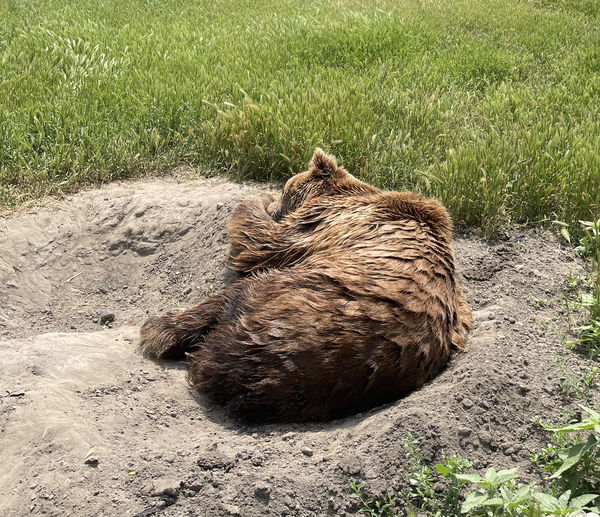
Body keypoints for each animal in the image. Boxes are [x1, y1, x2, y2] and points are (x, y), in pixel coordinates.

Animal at [138, 147, 472, 422]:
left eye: (286, 187)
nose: (276, 202)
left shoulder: (317, 226)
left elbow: (259, 241)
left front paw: (257, 201)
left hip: (284, 293)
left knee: (232, 298)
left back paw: (162, 330)